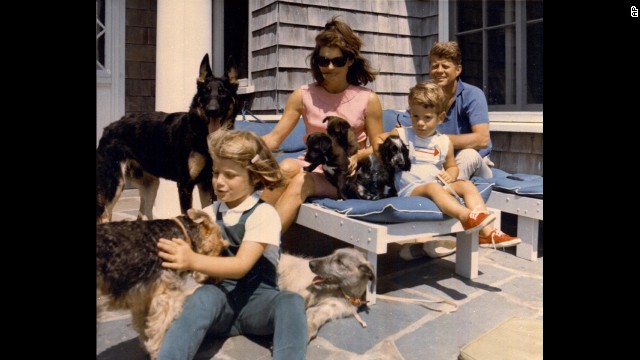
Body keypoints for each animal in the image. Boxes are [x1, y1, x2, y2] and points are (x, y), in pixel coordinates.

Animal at [97, 208, 230, 360]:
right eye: (223, 248)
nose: (219, 280)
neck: (182, 235)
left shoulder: (144, 299)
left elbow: (146, 329)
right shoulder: (167, 297)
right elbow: (160, 333)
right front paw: (157, 352)